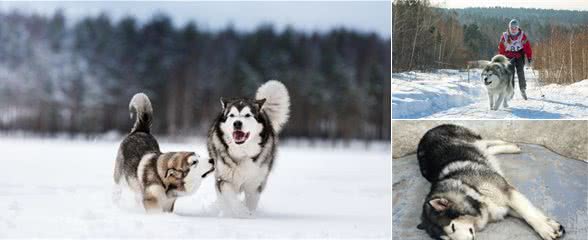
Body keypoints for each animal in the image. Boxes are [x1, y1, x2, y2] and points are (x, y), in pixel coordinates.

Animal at [207, 79, 290, 217]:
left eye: (247, 115)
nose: (237, 123)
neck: (242, 152)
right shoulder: (223, 178)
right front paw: (240, 212)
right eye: (232, 115)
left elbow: (251, 200)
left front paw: (249, 214)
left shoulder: (255, 182)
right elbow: (230, 196)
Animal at [416, 124, 564, 239]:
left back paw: (512, 146)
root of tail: (428, 132)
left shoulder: (507, 192)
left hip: (471, 140)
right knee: (488, 150)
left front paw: (545, 229)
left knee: (488, 140)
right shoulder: (504, 207)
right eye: (447, 239)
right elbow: (528, 212)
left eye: (452, 227)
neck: (473, 192)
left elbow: (528, 213)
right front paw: (550, 224)